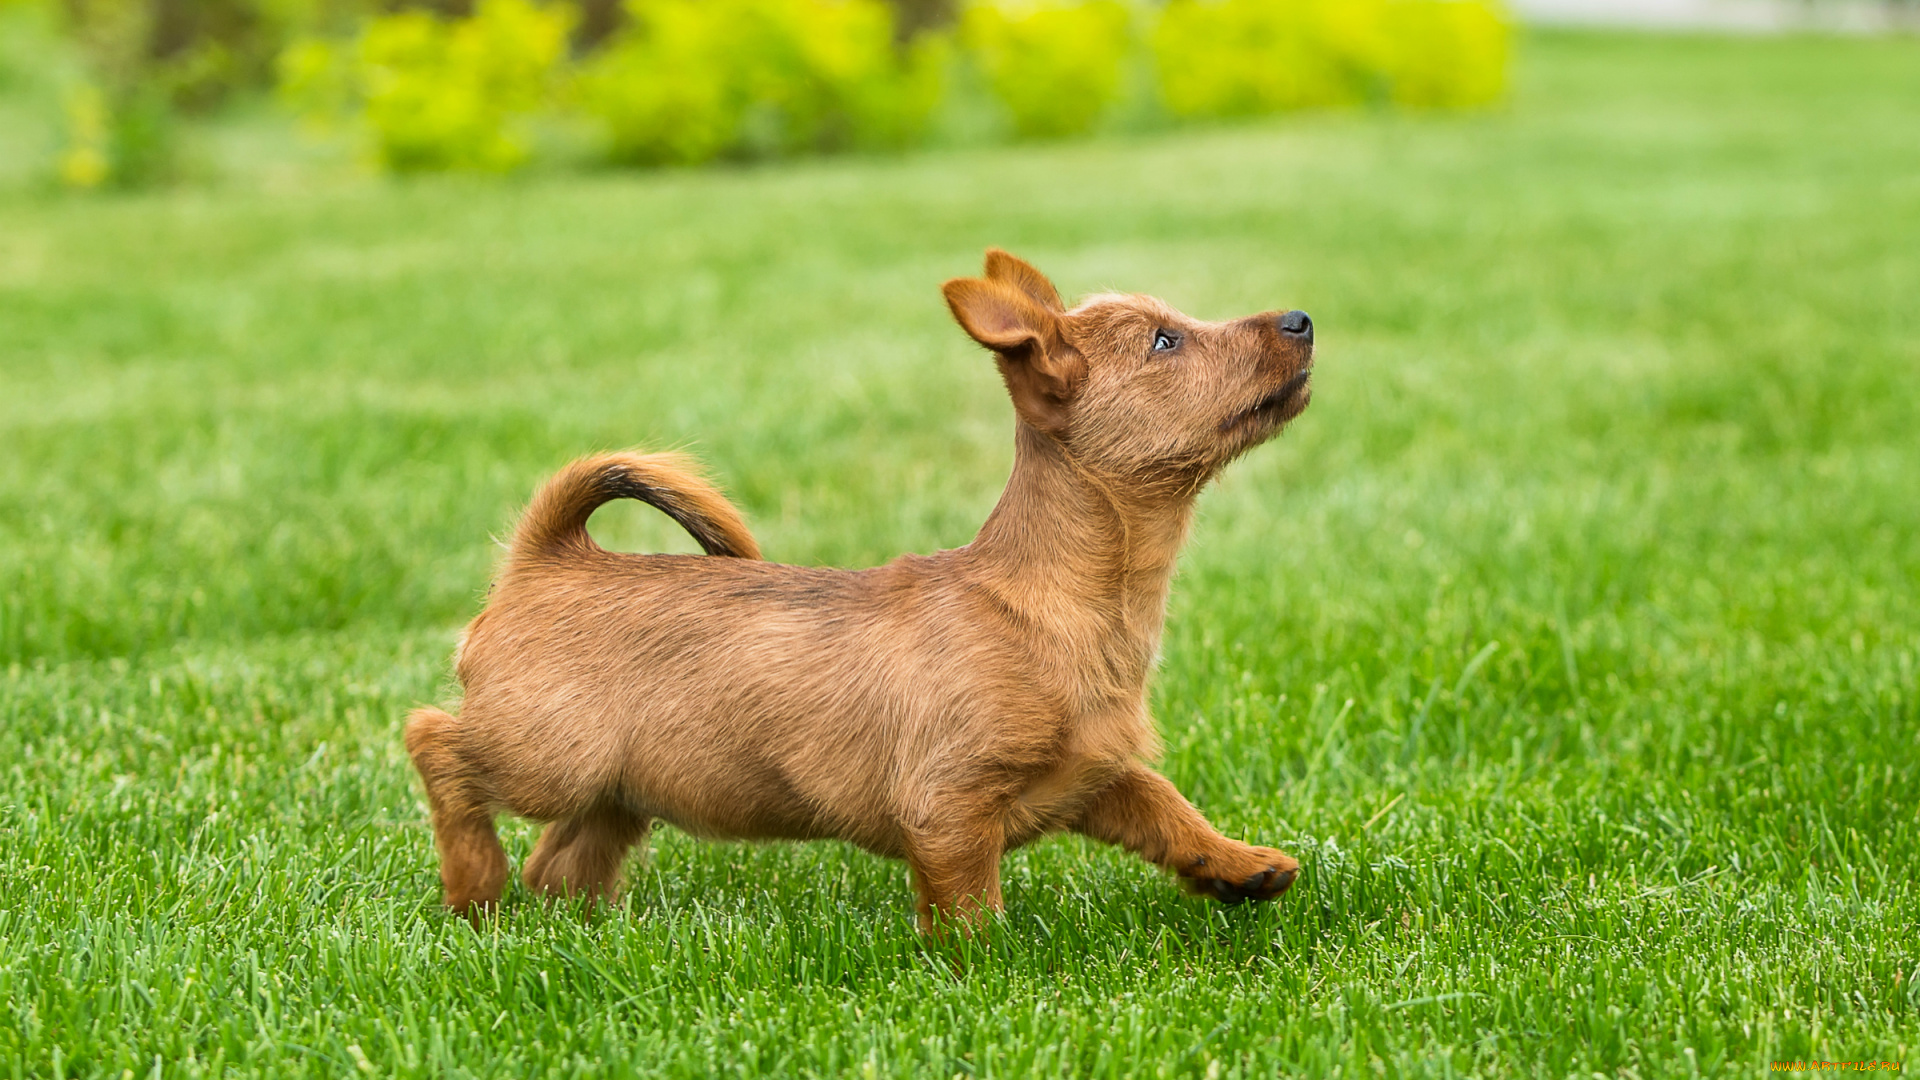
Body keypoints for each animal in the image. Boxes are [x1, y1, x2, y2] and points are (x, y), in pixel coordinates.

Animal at [399, 247, 1313, 930]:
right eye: (1165, 342)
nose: (1302, 319)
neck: (1059, 601)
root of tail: (548, 555)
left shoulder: (1094, 775)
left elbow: (1166, 806)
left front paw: (1238, 866)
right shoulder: (950, 808)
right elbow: (969, 908)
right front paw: (980, 970)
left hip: (618, 788)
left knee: (560, 863)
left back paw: (581, 928)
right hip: (546, 753)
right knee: (436, 743)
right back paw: (475, 887)